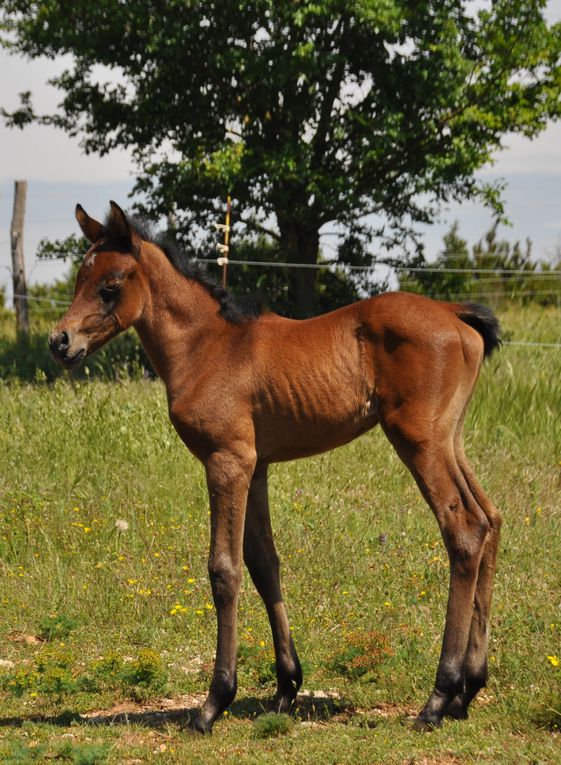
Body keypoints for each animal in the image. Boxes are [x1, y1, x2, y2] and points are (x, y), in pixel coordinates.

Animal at [49, 200, 498, 732]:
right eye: (80, 277)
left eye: (110, 285)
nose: (60, 342)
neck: (206, 346)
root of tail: (454, 313)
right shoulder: (257, 467)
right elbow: (264, 564)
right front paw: (287, 687)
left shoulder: (227, 461)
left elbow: (224, 571)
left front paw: (214, 702)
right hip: (451, 440)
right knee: (490, 520)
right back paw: (469, 689)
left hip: (419, 441)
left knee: (465, 529)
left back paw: (438, 697)